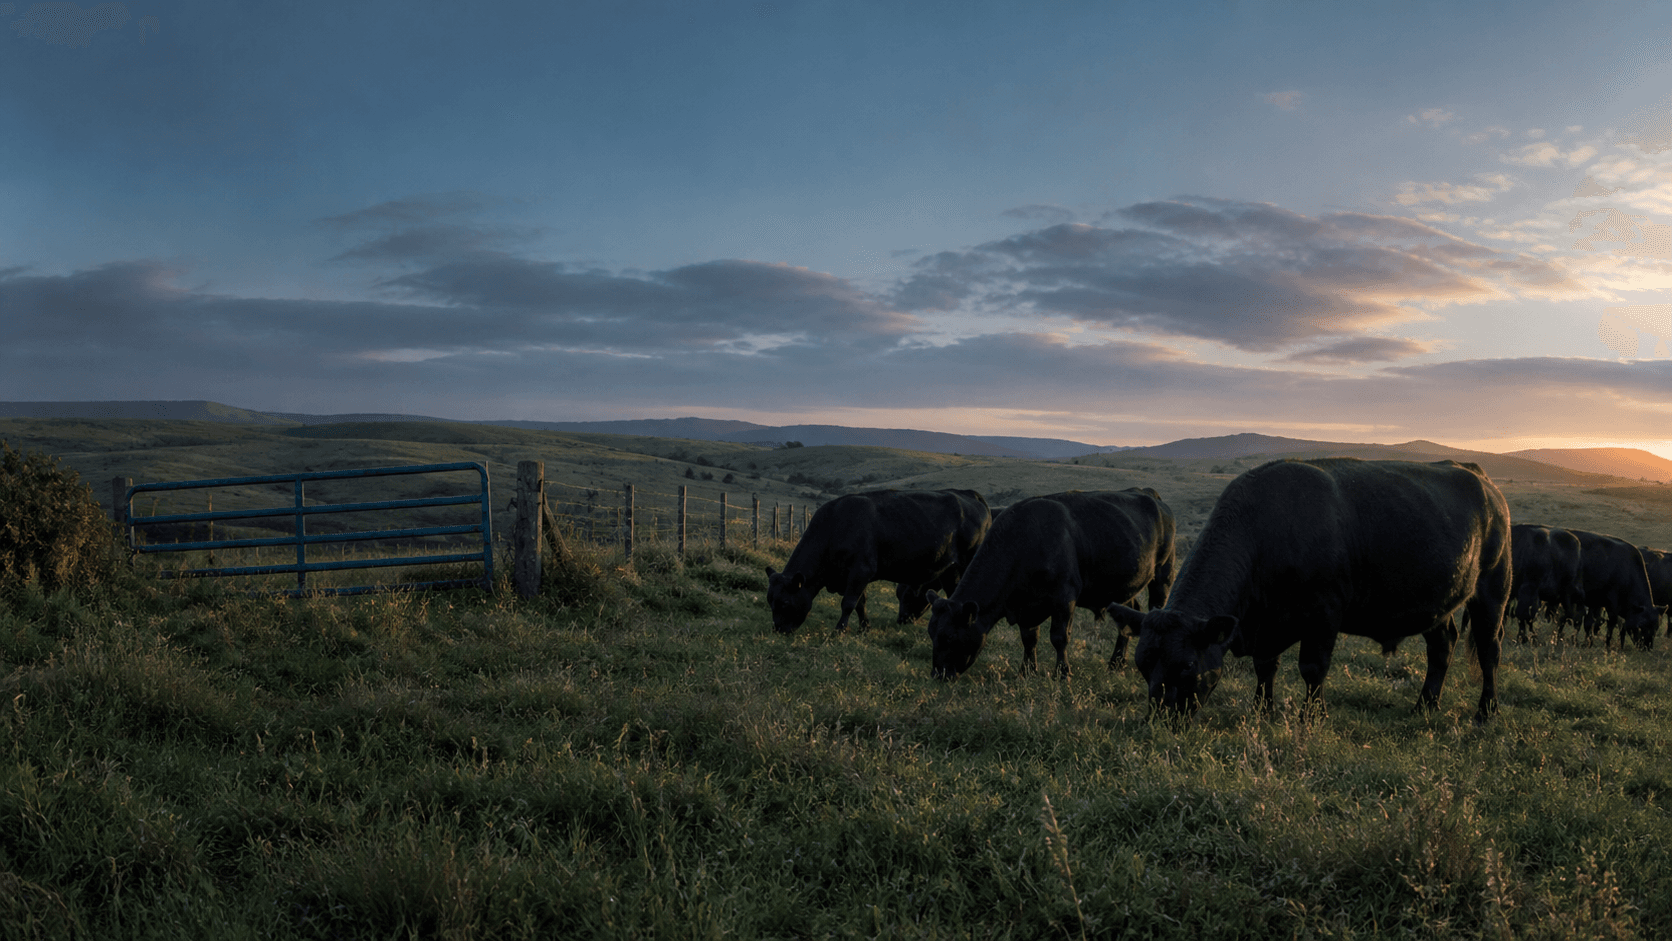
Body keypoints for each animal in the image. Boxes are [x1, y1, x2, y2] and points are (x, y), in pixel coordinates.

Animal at [765, 489, 990, 634]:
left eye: (785, 602)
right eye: (770, 600)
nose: (777, 629)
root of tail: (969, 495)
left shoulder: (861, 570)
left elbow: (848, 603)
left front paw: (839, 630)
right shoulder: (856, 575)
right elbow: (860, 603)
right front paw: (864, 628)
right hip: (950, 571)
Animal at [924, 488, 1175, 679]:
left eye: (950, 636)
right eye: (930, 633)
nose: (938, 674)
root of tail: (1148, 493)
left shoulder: (1065, 597)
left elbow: (1059, 637)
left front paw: (1062, 673)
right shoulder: (1026, 605)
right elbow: (1029, 639)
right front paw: (1027, 671)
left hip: (1162, 576)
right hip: (1124, 588)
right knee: (1129, 615)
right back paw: (1116, 662)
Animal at [1103, 459, 1511, 723]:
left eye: (1187, 664)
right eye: (1142, 663)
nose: (1162, 717)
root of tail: (1480, 477)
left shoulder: (1323, 614)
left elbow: (1312, 668)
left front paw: (1311, 716)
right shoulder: (1266, 623)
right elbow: (1265, 666)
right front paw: (1262, 709)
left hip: (1492, 589)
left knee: (1489, 650)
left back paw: (1486, 710)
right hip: (1436, 604)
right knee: (1442, 646)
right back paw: (1425, 704)